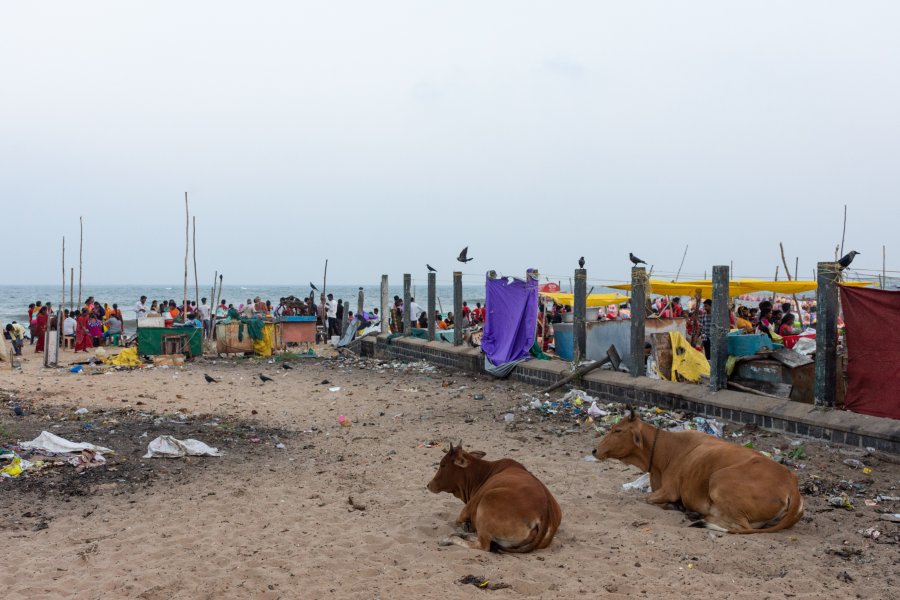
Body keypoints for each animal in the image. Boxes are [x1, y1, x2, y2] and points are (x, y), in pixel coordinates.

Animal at [426, 440, 560, 552]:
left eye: (443, 465)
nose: (429, 485)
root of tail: (544, 514)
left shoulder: (466, 510)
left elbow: (458, 522)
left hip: (487, 499)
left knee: (483, 545)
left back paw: (449, 539)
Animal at [596, 408, 804, 536]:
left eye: (618, 430)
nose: (594, 450)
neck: (667, 451)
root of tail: (791, 485)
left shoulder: (669, 490)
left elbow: (650, 499)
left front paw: (675, 506)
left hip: (718, 479)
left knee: (739, 526)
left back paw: (698, 517)